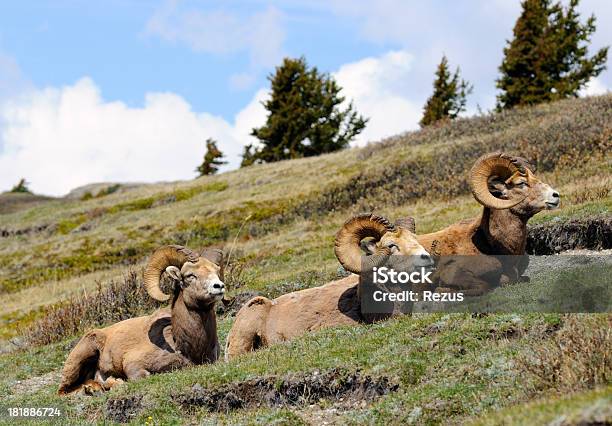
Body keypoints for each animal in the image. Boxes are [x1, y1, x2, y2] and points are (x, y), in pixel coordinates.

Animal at [56, 245, 225, 394]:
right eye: (190, 275)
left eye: (216, 271)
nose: (219, 286)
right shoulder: (134, 366)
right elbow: (144, 376)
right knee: (64, 390)